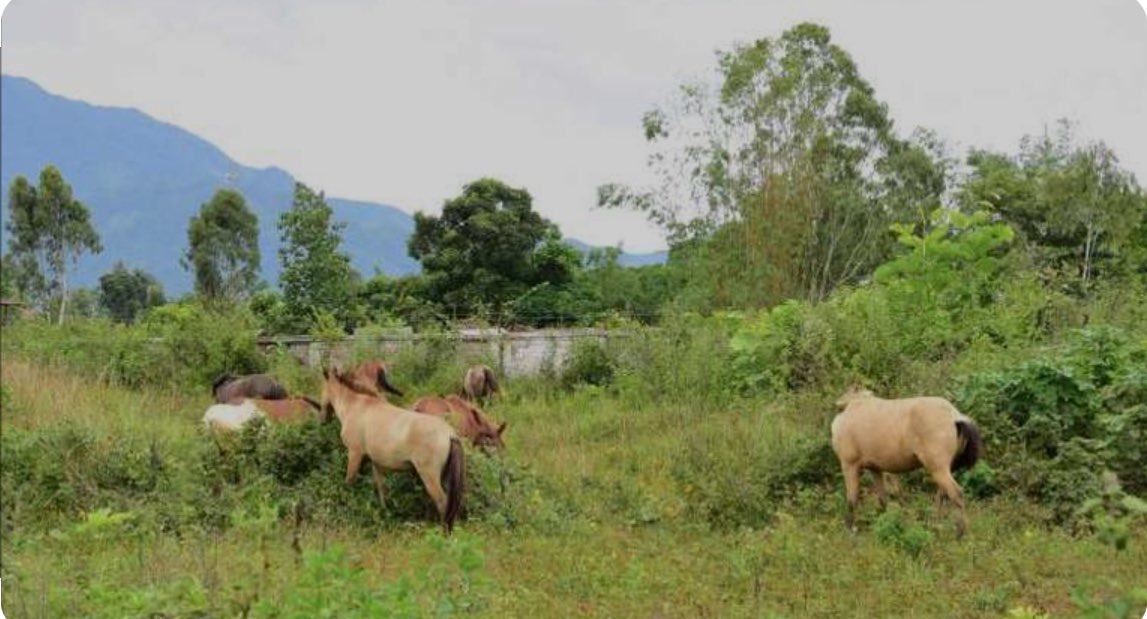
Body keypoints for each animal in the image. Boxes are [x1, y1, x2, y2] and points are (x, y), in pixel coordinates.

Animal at [320, 367, 465, 535]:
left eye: (322, 388)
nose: (322, 419)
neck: (357, 406)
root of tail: (449, 433)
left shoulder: (355, 454)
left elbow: (349, 481)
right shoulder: (376, 462)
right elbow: (380, 487)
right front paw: (384, 513)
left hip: (429, 475)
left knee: (442, 501)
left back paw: (443, 534)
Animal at [830, 386, 983, 538]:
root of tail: (955, 416)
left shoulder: (849, 465)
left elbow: (852, 498)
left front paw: (850, 529)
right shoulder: (876, 469)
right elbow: (882, 499)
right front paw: (884, 524)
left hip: (938, 469)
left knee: (956, 493)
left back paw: (960, 533)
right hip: (942, 470)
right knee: (942, 495)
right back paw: (935, 527)